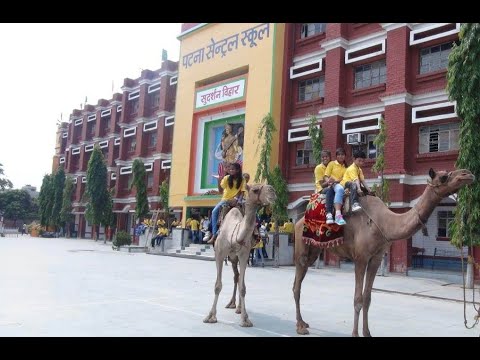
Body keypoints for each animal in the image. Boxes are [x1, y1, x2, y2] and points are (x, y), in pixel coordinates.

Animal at [203, 184, 278, 328]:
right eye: (255, 189)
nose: (272, 191)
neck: (233, 235)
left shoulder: (244, 255)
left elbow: (243, 287)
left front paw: (245, 319)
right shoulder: (219, 254)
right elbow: (217, 286)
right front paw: (210, 316)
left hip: (236, 257)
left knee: (238, 278)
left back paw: (237, 307)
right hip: (231, 257)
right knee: (236, 276)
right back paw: (231, 304)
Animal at [290, 167, 474, 336]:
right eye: (444, 177)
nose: (467, 174)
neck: (384, 223)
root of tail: (298, 221)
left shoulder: (376, 258)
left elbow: (367, 298)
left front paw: (367, 333)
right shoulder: (361, 258)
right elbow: (357, 299)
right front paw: (355, 334)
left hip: (313, 251)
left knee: (297, 282)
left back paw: (304, 322)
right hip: (301, 249)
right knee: (297, 286)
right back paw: (300, 327)